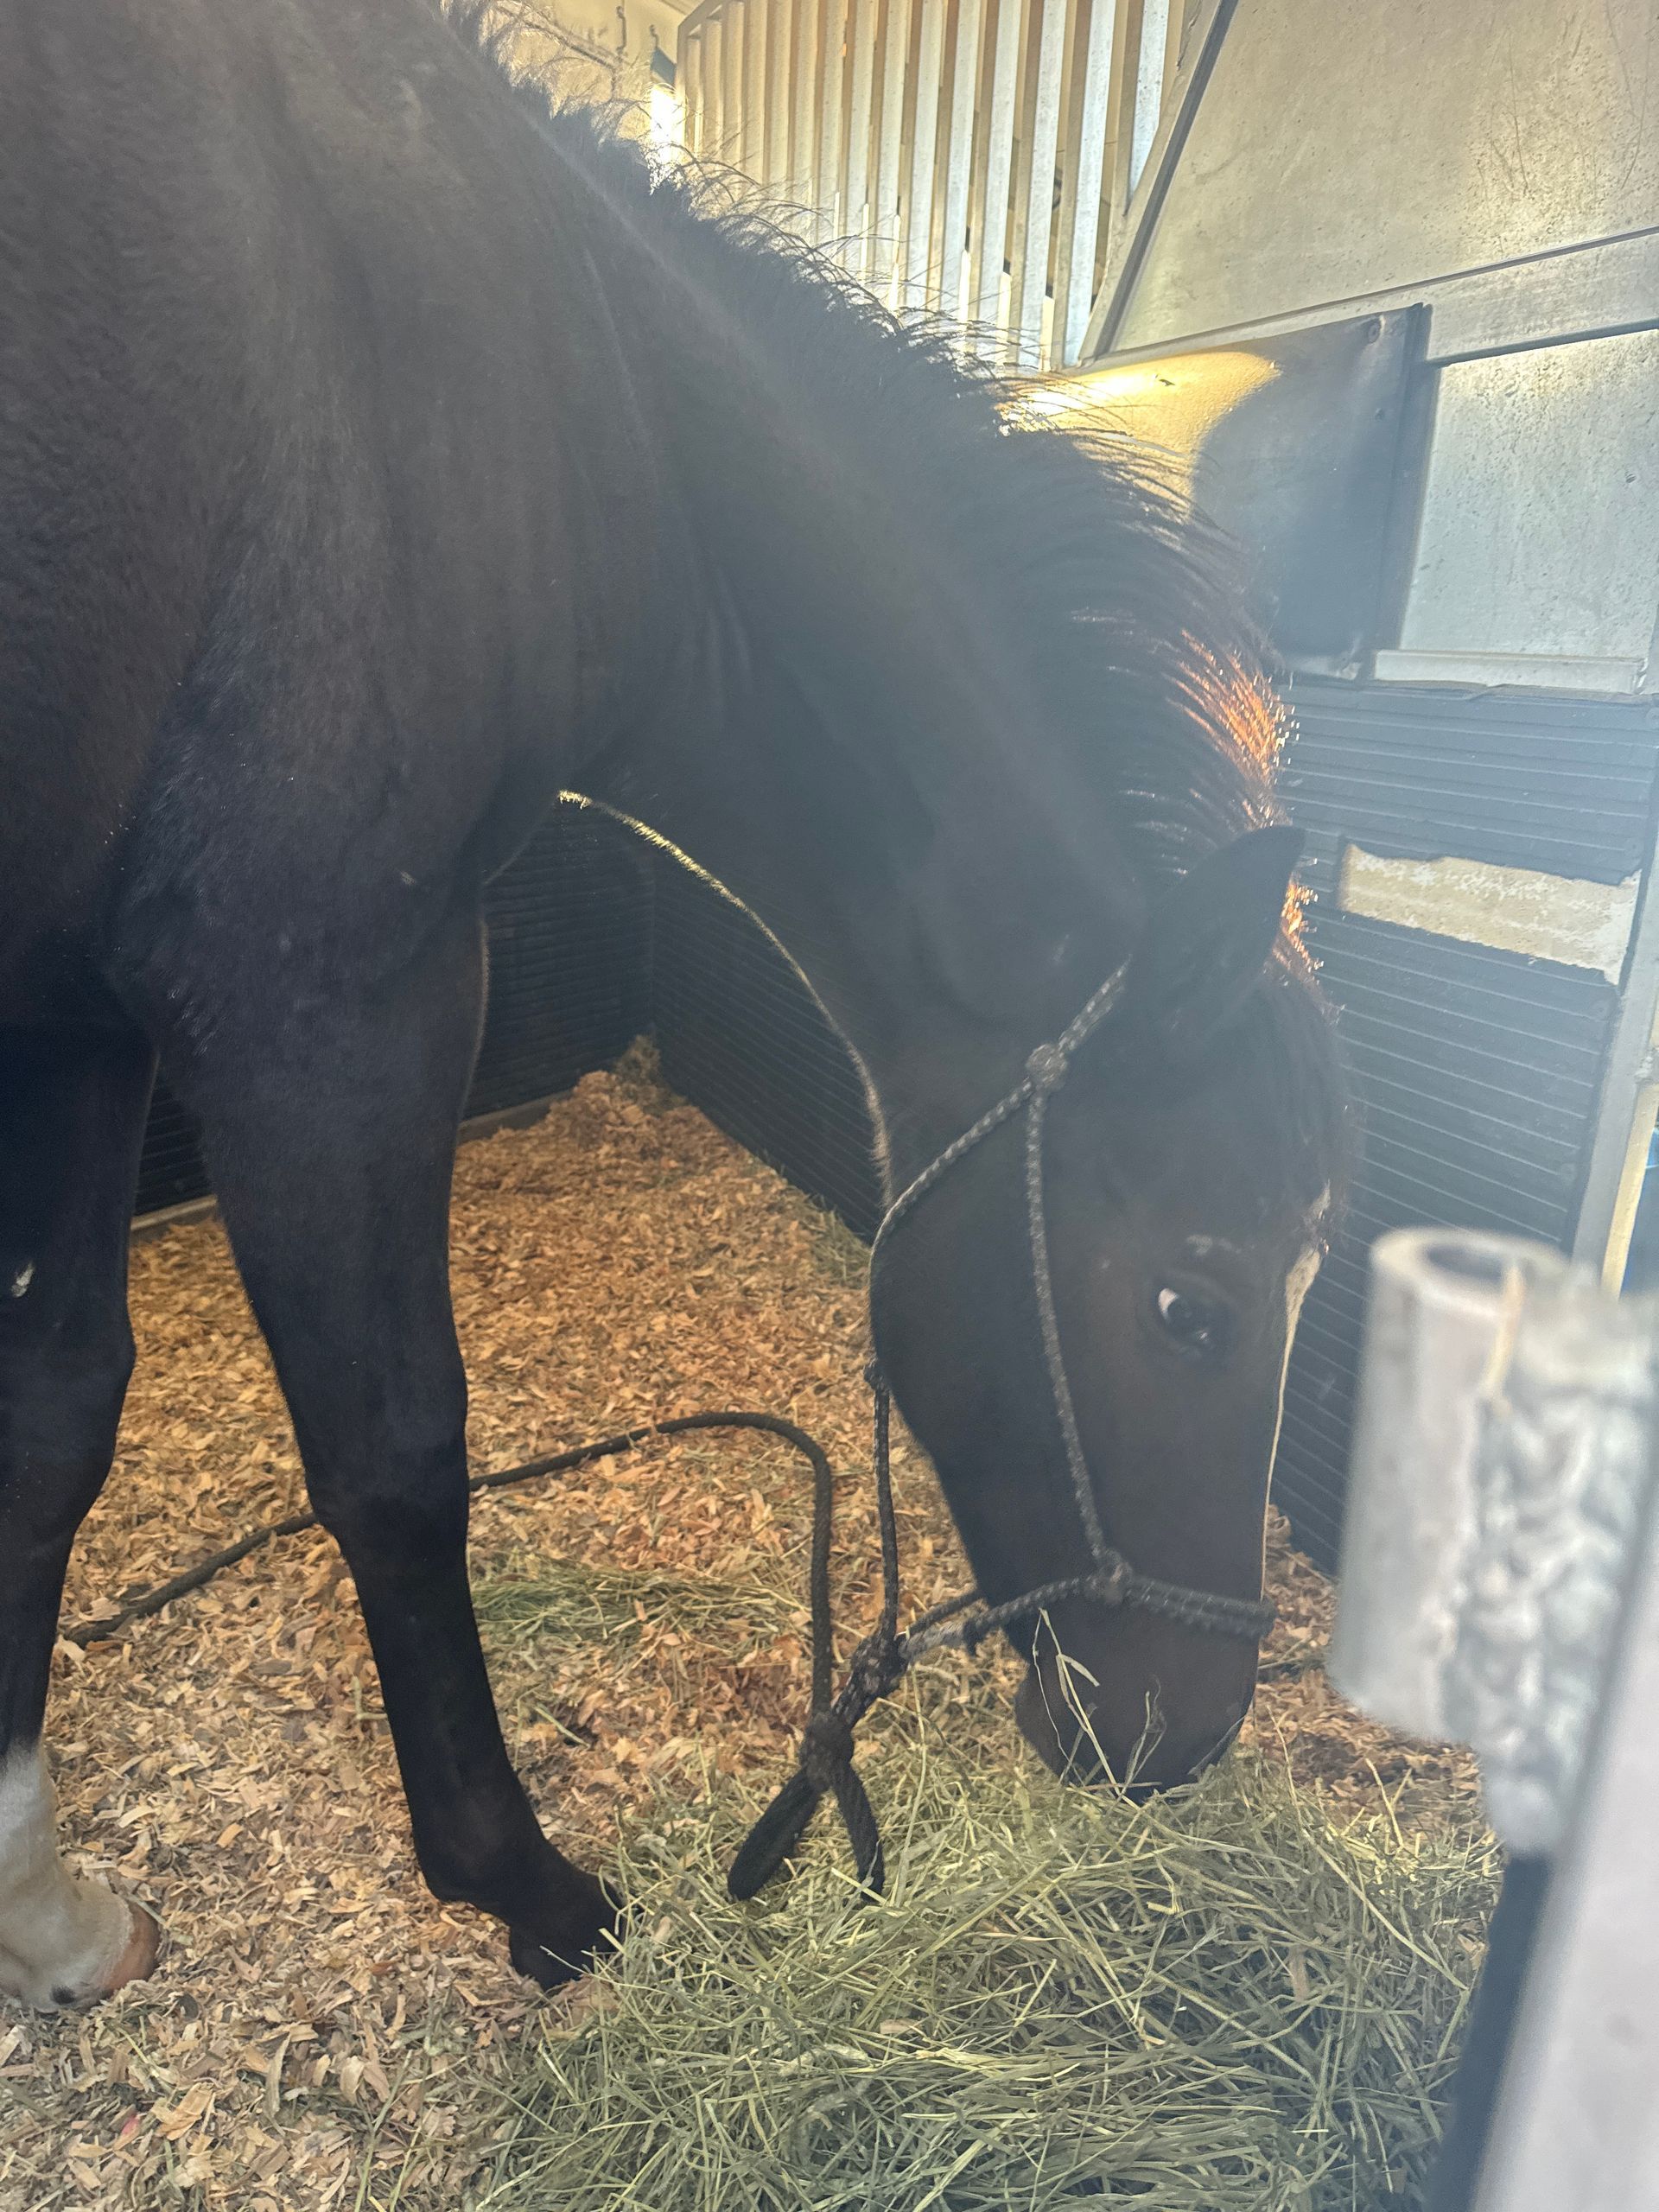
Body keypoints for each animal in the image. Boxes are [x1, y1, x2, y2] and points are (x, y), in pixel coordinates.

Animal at [0, 0, 1346, 2009]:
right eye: (1193, 1301)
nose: (1183, 1727)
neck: (558, 391)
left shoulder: (86, 1015)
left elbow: (55, 1412)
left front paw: (36, 1895)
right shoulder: (324, 997)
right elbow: (394, 1452)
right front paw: (519, 1880)